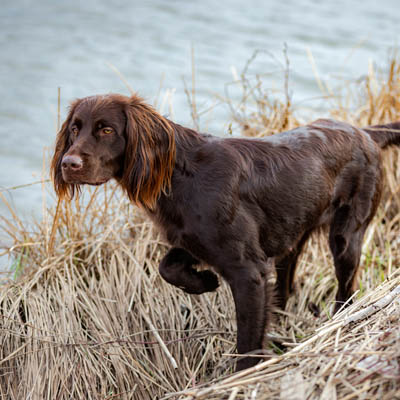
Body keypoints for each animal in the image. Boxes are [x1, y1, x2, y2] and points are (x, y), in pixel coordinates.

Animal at [51, 94, 398, 372]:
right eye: (75, 129)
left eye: (107, 130)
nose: (69, 163)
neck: (181, 174)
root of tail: (364, 132)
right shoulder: (192, 240)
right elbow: (167, 267)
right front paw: (204, 281)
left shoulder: (248, 272)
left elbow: (247, 340)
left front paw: (241, 376)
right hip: (292, 237)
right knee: (286, 283)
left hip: (346, 236)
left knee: (346, 288)